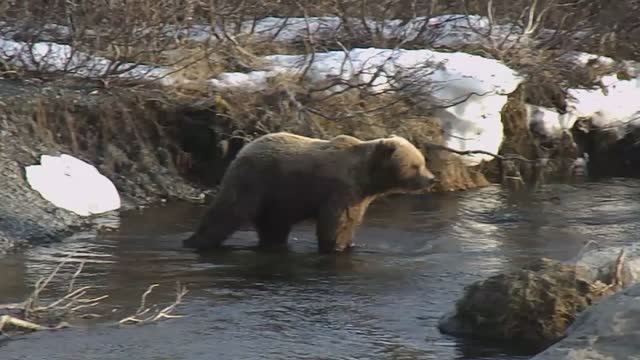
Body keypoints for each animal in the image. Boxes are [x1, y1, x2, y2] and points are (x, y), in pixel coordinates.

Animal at [182, 132, 438, 253]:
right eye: (416, 164)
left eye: (423, 161)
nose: (431, 178)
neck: (367, 179)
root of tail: (243, 148)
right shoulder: (341, 189)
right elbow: (336, 223)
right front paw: (335, 247)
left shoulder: (359, 196)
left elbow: (351, 222)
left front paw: (349, 244)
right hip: (257, 180)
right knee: (229, 210)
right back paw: (195, 241)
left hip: (279, 199)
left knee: (273, 226)